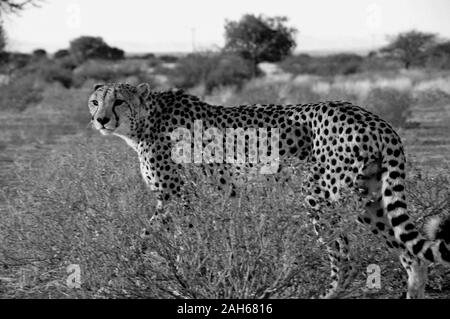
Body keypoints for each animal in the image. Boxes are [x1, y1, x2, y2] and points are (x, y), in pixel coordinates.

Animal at [88, 82, 450, 300]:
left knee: (344, 256)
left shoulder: (174, 197)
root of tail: (373, 118)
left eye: (118, 101)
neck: (146, 121)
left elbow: (148, 239)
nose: (101, 119)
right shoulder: (192, 201)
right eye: (94, 102)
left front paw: (119, 276)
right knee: (412, 254)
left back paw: (327, 294)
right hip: (369, 199)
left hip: (319, 195)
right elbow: (182, 241)